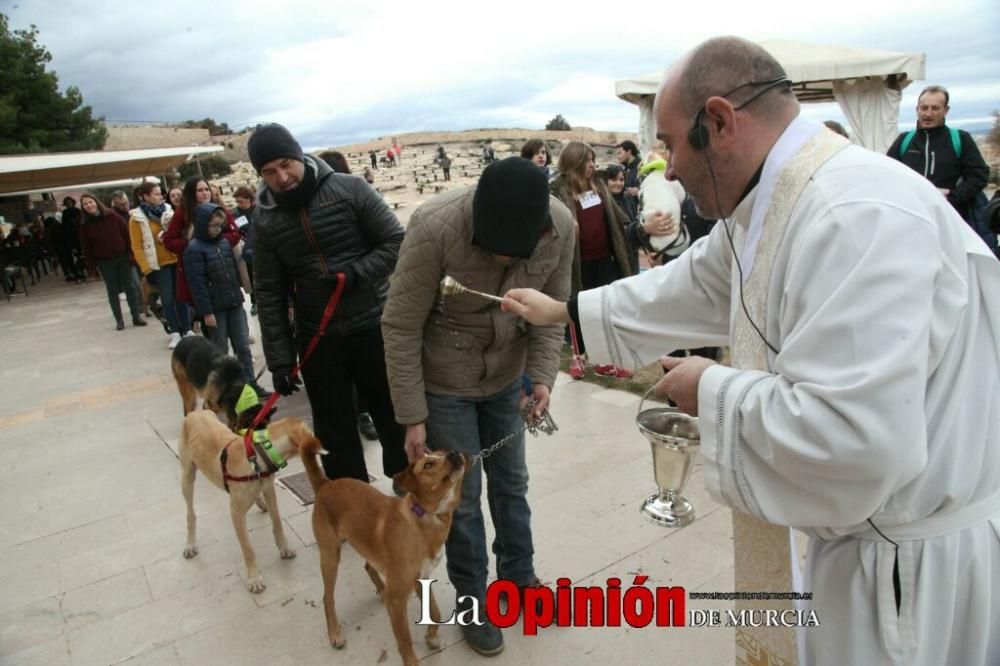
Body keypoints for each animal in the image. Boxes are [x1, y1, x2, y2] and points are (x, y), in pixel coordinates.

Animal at [179, 410, 320, 592]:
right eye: (310, 432)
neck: (257, 455)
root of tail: (195, 412)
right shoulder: (236, 513)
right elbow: (248, 549)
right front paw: (254, 578)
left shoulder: (268, 489)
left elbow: (277, 522)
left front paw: (284, 548)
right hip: (187, 476)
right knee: (191, 514)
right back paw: (190, 544)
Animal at [298, 436, 466, 664]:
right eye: (428, 465)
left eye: (443, 451)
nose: (455, 452)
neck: (424, 519)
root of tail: (326, 483)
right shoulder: (396, 599)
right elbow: (405, 640)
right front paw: (412, 660)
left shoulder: (421, 578)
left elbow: (435, 611)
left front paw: (431, 636)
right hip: (330, 554)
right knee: (327, 598)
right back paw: (335, 633)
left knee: (369, 566)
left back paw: (380, 587)